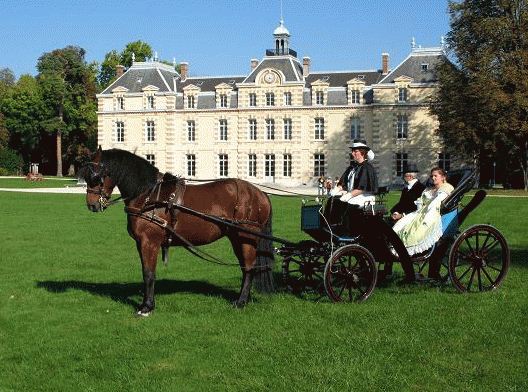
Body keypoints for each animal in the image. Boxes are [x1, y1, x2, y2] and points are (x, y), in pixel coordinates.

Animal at [81, 147, 276, 316]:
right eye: (86, 176)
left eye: (96, 176)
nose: (92, 205)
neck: (148, 195)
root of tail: (260, 193)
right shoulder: (140, 243)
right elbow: (146, 271)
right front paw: (146, 304)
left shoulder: (149, 242)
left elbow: (149, 273)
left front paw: (147, 307)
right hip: (237, 238)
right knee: (245, 267)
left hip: (245, 238)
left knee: (249, 267)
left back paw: (241, 301)